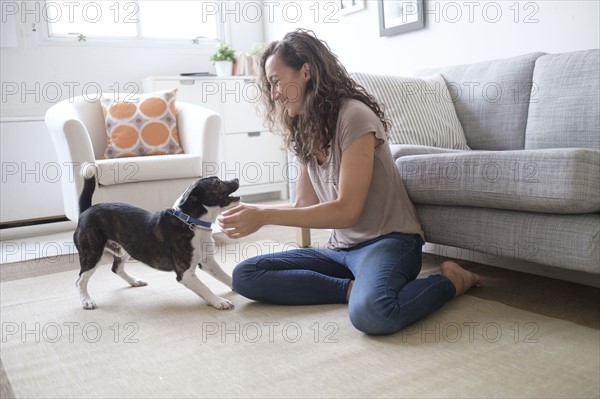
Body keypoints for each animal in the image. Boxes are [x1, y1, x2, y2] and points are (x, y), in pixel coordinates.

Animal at [71, 177, 239, 310]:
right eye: (217, 182)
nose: (236, 179)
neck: (192, 222)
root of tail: (86, 211)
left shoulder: (208, 262)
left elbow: (225, 276)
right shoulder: (185, 274)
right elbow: (205, 288)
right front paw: (219, 301)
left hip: (125, 249)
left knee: (116, 268)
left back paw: (134, 282)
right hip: (93, 253)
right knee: (80, 280)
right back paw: (86, 301)